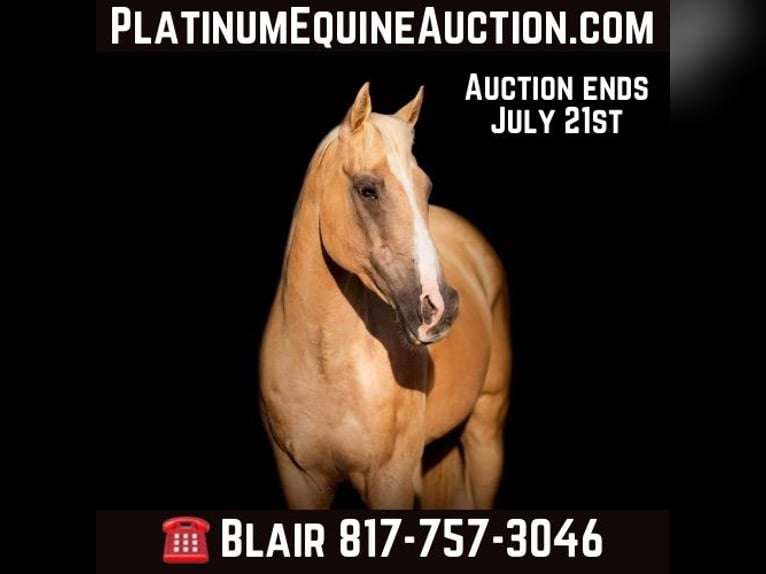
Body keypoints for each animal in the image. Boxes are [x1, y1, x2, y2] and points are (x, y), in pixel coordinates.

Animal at [259, 83, 511, 509]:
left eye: (426, 187)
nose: (440, 307)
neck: (324, 366)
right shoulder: (300, 482)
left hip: (485, 435)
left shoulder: (389, 480)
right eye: (367, 189)